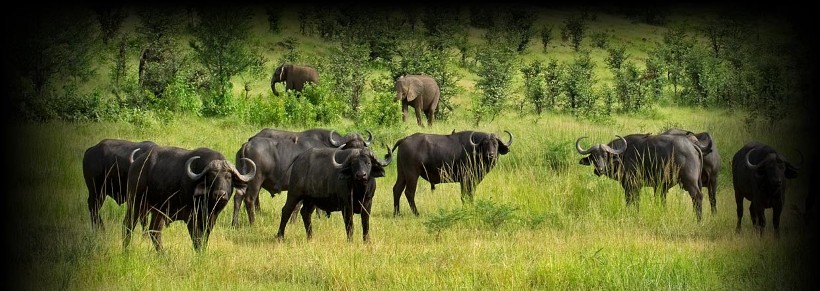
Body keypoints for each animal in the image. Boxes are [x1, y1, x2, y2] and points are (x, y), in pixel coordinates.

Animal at [123, 147, 253, 252]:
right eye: (211, 177)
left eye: (228, 177)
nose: (220, 194)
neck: (208, 205)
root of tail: (136, 163)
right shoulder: (192, 219)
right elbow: (197, 241)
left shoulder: (210, 221)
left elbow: (204, 240)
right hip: (135, 204)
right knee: (128, 225)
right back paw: (126, 250)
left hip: (159, 211)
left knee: (155, 231)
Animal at [231, 129, 372, 227]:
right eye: (351, 146)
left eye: (362, 146)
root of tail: (247, 145)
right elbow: (298, 206)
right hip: (256, 180)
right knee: (250, 199)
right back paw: (253, 223)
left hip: (243, 179)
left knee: (238, 197)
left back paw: (234, 223)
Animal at [576, 133, 712, 220]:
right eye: (593, 156)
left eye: (605, 155)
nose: (599, 169)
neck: (623, 155)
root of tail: (693, 146)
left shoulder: (632, 185)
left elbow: (632, 201)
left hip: (690, 182)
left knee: (697, 197)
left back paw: (698, 219)